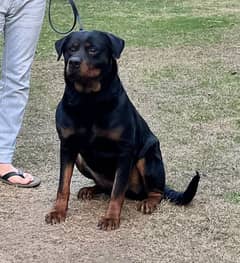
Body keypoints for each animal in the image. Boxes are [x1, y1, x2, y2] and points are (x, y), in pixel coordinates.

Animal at [45, 29, 199, 230]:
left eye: (93, 49)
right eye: (70, 49)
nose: (74, 62)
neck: (88, 101)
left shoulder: (124, 151)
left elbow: (118, 192)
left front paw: (111, 218)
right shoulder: (67, 147)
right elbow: (63, 185)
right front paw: (58, 212)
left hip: (147, 157)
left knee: (154, 191)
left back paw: (149, 202)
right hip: (80, 159)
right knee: (105, 186)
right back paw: (90, 189)